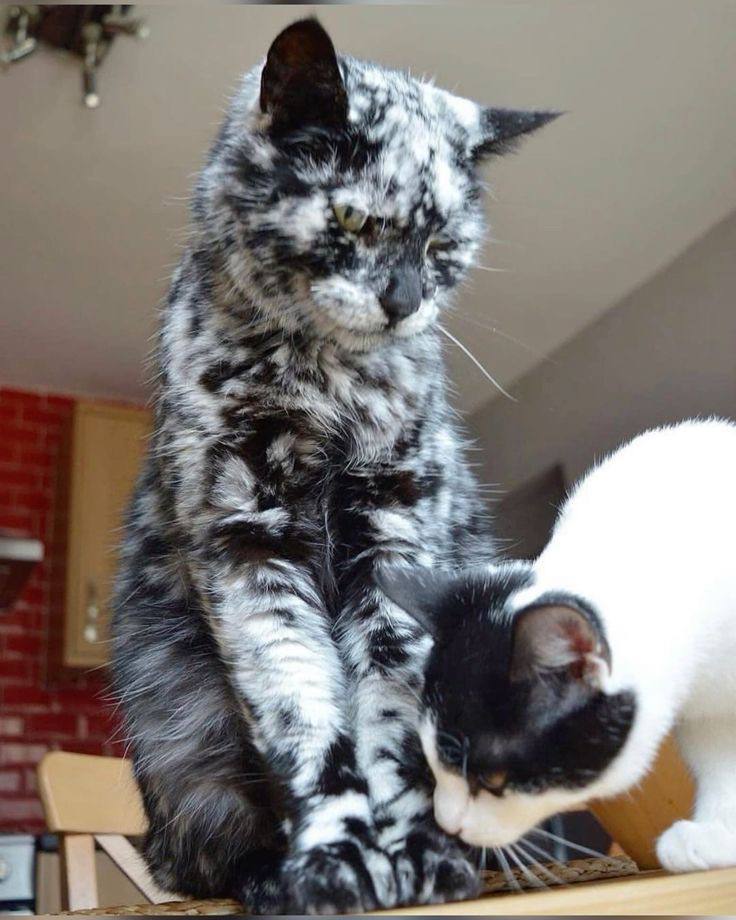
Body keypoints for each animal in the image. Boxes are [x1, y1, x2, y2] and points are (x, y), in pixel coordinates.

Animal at [111, 17, 557, 914]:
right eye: (351, 219)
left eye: (443, 242)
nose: (403, 300)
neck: (322, 391)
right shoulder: (245, 544)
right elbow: (303, 717)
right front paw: (333, 862)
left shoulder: (394, 538)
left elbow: (393, 720)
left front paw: (418, 855)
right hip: (171, 716)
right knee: (205, 846)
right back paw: (264, 879)